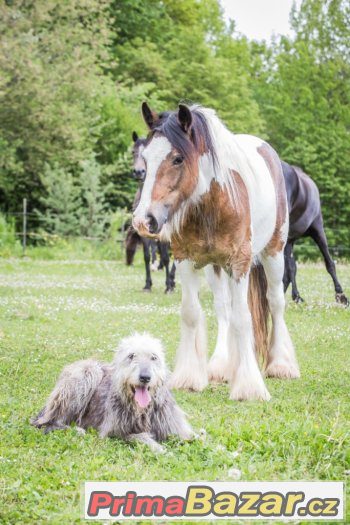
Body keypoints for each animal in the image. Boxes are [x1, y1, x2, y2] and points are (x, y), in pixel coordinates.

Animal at [30, 332, 194, 450]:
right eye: (131, 356)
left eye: (154, 357)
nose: (145, 377)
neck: (141, 411)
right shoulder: (115, 432)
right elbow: (139, 437)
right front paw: (159, 448)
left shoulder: (171, 425)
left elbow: (192, 437)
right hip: (88, 373)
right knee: (49, 422)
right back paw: (75, 430)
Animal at [133, 103, 300, 402]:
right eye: (146, 160)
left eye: (177, 159)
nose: (144, 220)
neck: (213, 204)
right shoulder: (185, 261)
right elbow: (192, 313)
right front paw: (189, 377)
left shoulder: (240, 263)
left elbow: (243, 319)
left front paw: (249, 386)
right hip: (216, 268)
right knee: (224, 309)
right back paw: (222, 366)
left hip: (274, 253)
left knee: (275, 303)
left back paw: (281, 365)